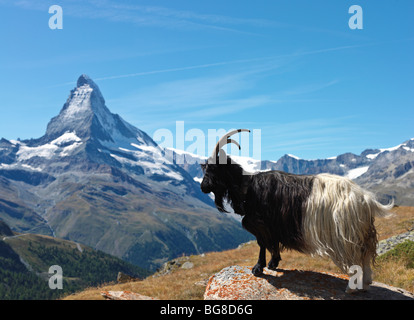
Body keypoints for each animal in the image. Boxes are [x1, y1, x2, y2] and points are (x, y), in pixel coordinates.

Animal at [201, 129, 392, 292]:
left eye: (213, 168)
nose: (203, 187)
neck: (247, 187)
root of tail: (365, 199)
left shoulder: (260, 223)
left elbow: (262, 244)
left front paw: (258, 268)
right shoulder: (273, 226)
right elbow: (273, 244)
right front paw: (273, 264)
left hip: (346, 237)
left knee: (356, 260)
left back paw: (351, 288)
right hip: (361, 233)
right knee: (365, 257)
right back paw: (365, 284)